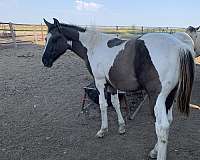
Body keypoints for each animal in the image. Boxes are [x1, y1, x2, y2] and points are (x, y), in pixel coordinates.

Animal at [41, 18, 199, 160]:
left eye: (55, 39)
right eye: (46, 38)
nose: (45, 61)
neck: (93, 46)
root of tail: (180, 47)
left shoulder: (100, 83)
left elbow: (103, 105)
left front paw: (103, 130)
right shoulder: (112, 85)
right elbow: (116, 103)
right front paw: (121, 127)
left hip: (156, 98)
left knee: (161, 127)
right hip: (170, 96)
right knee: (169, 121)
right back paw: (154, 151)